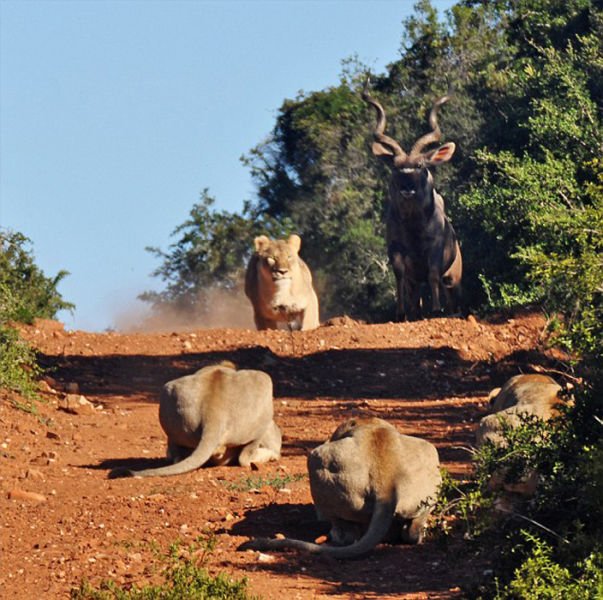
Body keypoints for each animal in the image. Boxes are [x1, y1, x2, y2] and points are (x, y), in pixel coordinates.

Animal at [109, 360, 282, 478]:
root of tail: (213, 413)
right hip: (265, 383)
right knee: (244, 459)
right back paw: (268, 456)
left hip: (168, 393)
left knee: (176, 456)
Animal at [238, 418, 442, 556]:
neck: (370, 425)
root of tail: (386, 484)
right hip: (431, 461)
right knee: (412, 532)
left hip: (317, 462)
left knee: (344, 535)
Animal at [364, 83, 462, 324]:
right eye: (396, 166)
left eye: (419, 165)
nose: (407, 188)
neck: (413, 228)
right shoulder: (396, 251)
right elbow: (399, 276)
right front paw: (401, 313)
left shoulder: (434, 249)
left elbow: (433, 274)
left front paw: (436, 310)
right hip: (416, 281)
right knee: (416, 293)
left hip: (453, 275)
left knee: (449, 290)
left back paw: (450, 311)